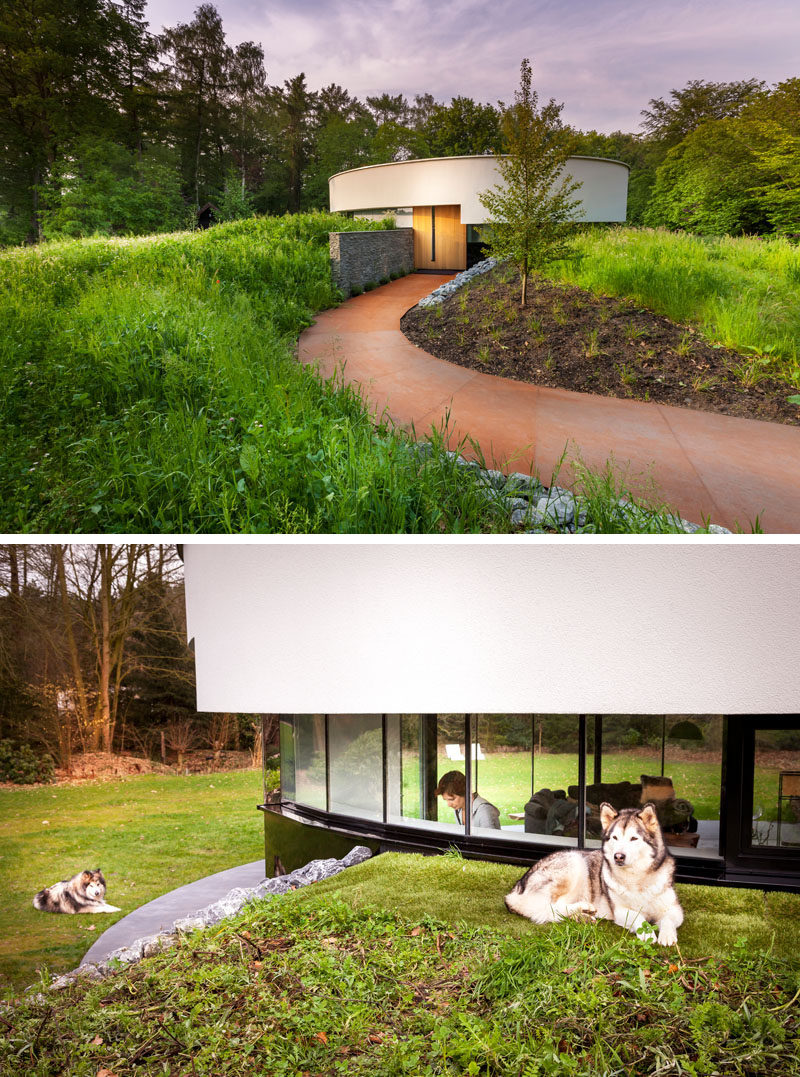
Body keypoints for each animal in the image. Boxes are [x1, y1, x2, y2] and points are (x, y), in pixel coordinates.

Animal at [506, 801, 680, 943]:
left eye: (634, 838)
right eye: (615, 838)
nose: (618, 856)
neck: (637, 878)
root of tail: (517, 888)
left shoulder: (675, 909)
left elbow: (668, 919)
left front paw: (667, 936)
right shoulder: (620, 911)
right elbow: (638, 917)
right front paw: (647, 933)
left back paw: (583, 916)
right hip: (575, 861)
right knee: (552, 906)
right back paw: (583, 907)